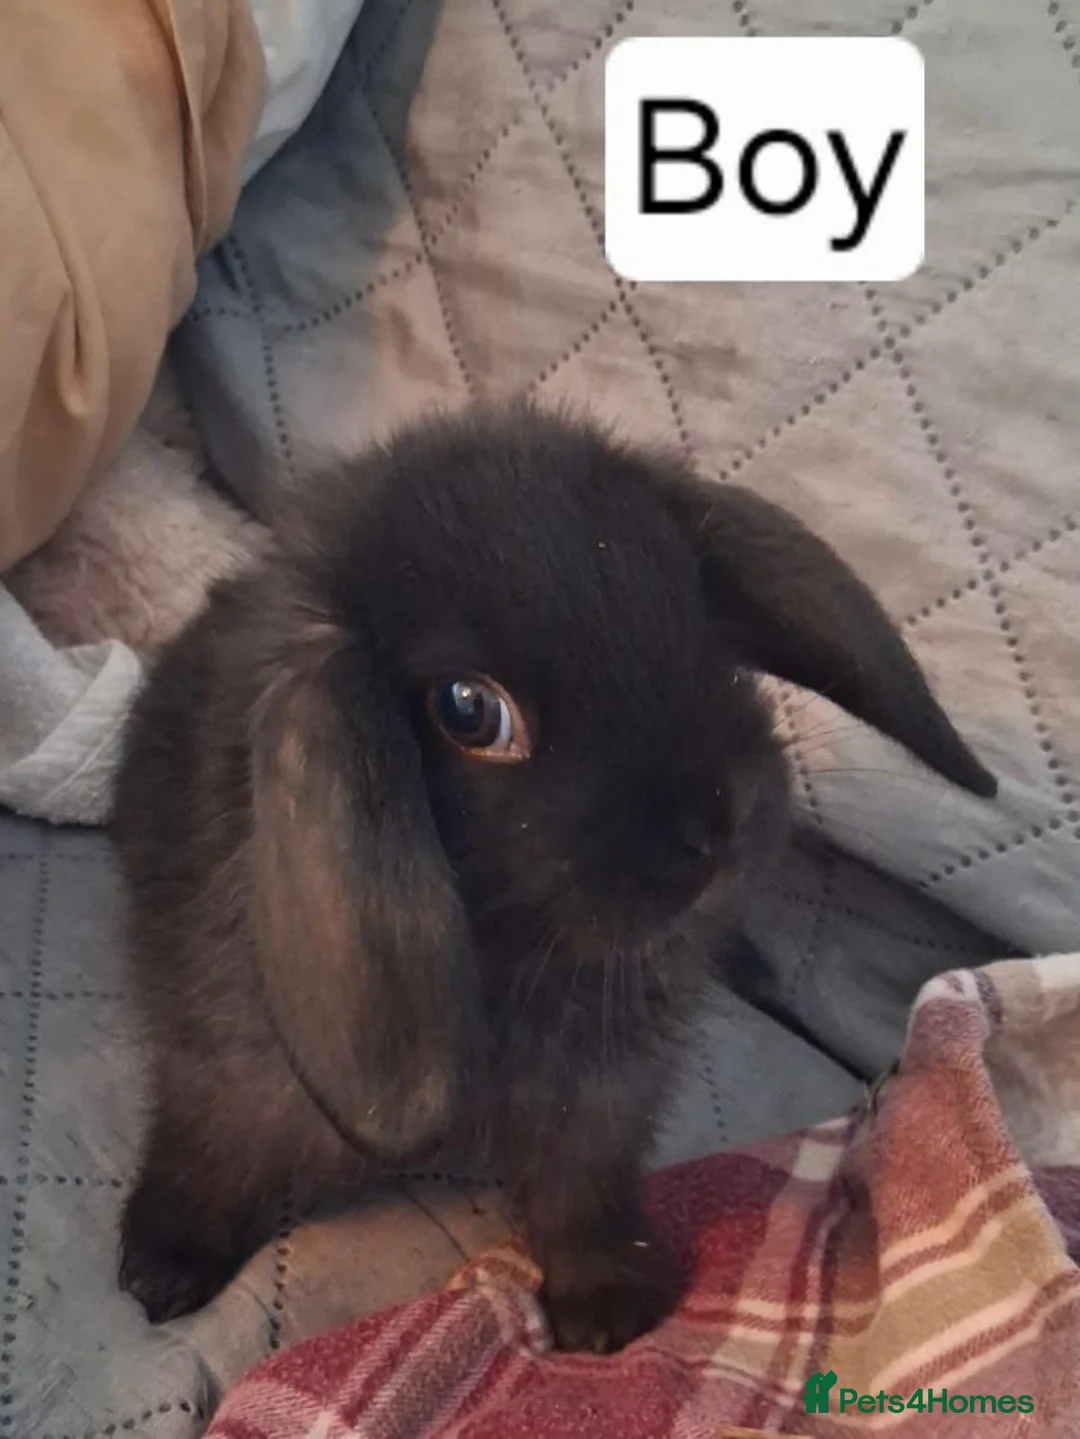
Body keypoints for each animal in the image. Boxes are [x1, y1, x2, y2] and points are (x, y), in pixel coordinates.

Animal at [112, 399, 996, 1353]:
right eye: (469, 709)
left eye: (692, 604)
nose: (717, 825)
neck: (511, 949)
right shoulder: (224, 1064)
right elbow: (211, 1148)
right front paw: (160, 1267)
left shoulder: (605, 1098)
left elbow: (584, 1189)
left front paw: (609, 1309)